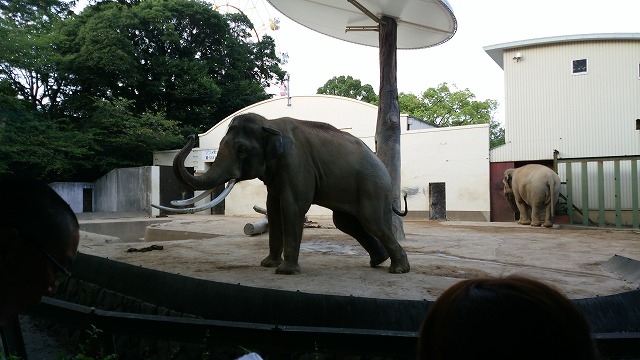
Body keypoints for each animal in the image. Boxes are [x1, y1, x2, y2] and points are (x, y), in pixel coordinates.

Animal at [158, 113, 412, 276]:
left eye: (242, 150)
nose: (190, 135)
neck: (270, 124)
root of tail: (382, 166)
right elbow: (273, 208)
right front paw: (267, 265)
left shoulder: (296, 164)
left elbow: (292, 207)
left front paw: (285, 272)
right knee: (346, 223)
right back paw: (378, 261)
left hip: (372, 188)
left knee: (373, 222)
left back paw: (399, 269)